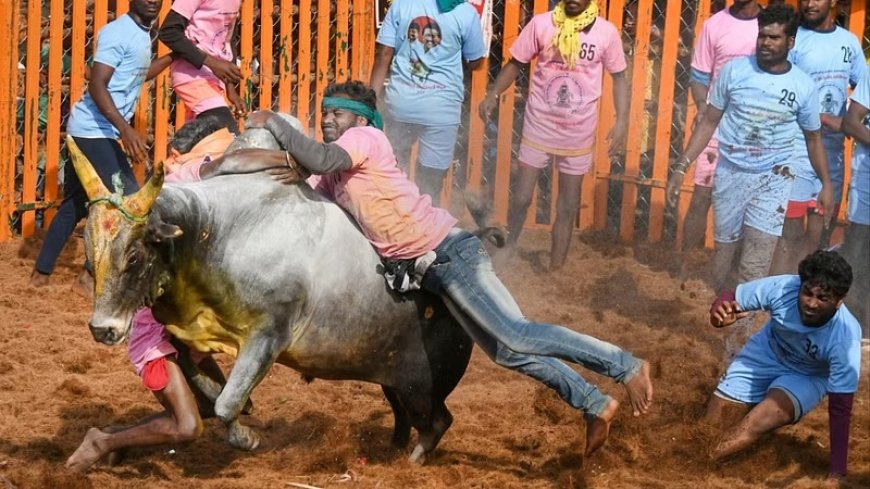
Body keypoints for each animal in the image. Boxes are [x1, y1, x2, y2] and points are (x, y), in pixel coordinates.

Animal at [68, 124, 476, 460]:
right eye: (89, 256)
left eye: (134, 255)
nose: (102, 329)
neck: (210, 232)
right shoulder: (185, 330)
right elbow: (204, 383)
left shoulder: (269, 334)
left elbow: (226, 404)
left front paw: (245, 435)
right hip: (395, 381)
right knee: (404, 417)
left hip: (423, 387)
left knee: (438, 422)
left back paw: (411, 460)